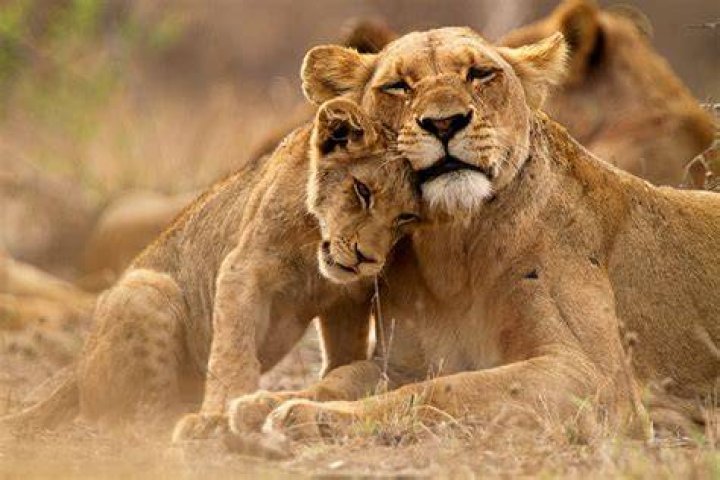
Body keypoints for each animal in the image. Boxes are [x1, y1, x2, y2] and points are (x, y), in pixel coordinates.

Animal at [0, 98, 421, 439]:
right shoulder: (242, 269)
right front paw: (218, 415)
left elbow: (344, 355)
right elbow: (233, 351)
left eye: (406, 217)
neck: (313, 250)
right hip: (147, 289)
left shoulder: (347, 299)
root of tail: (76, 369)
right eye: (362, 191)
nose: (368, 258)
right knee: (137, 417)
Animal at [227, 27, 720, 443]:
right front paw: (262, 403)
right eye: (398, 86)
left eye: (480, 74)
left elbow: (444, 390)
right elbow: (342, 378)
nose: (444, 123)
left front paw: (311, 417)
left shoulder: (595, 378)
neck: (453, 248)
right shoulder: (402, 362)